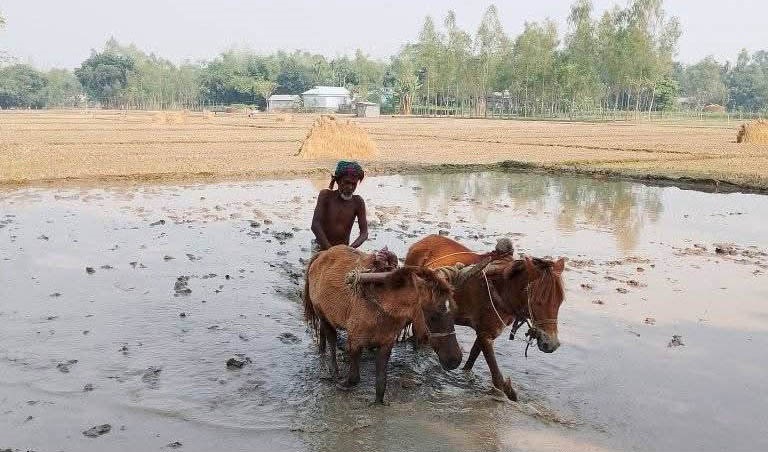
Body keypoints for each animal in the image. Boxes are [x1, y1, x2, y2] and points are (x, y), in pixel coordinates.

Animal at [306, 245, 468, 404]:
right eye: (433, 316)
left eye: (454, 312)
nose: (455, 360)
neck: (382, 305)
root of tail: (322, 254)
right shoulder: (355, 340)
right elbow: (354, 378)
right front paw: (344, 384)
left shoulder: (386, 344)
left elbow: (381, 381)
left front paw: (378, 402)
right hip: (323, 316)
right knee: (331, 340)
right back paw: (333, 371)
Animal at [408, 235, 564, 400]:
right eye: (537, 301)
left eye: (560, 300)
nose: (551, 344)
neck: (503, 290)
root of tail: (423, 241)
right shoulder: (485, 336)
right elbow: (497, 378)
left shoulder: (486, 333)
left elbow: (471, 360)